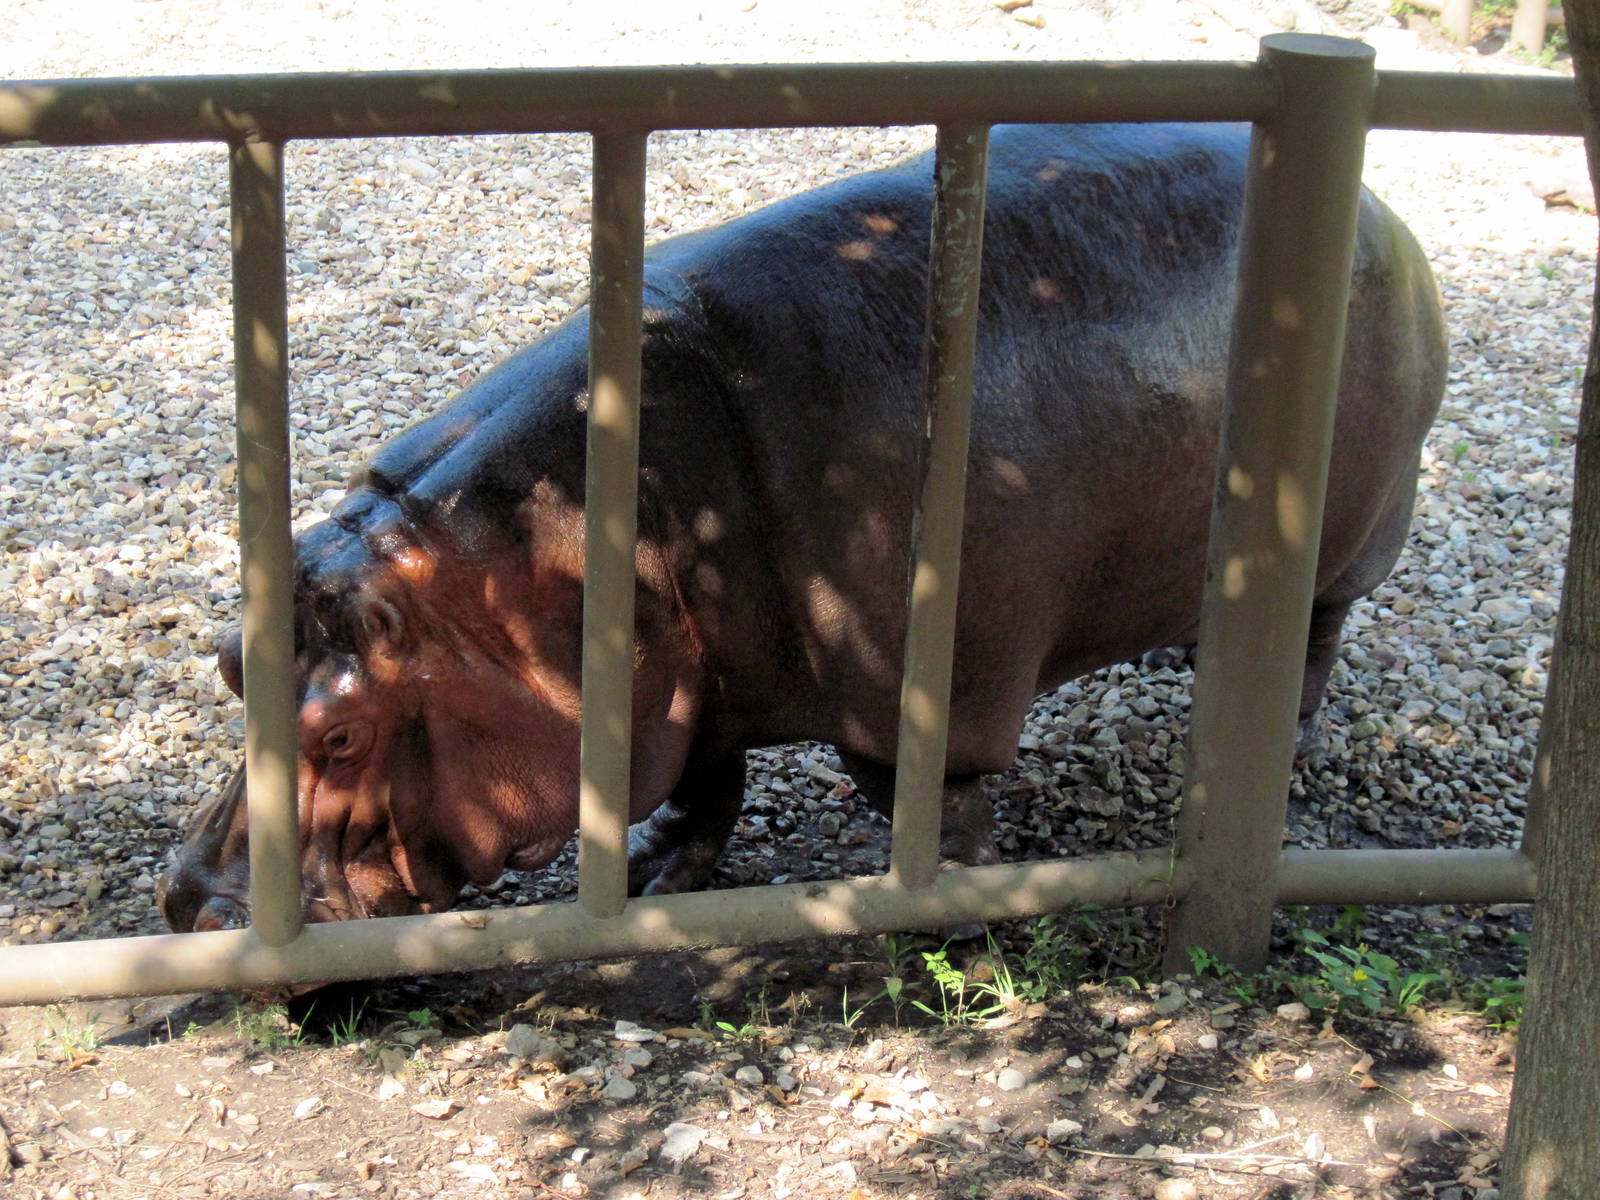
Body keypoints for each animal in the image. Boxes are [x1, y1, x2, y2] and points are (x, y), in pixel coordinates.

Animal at [159, 122, 1445, 933]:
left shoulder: (928, 688)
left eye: (337, 734)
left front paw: (949, 902)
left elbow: (922, 796)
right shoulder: (682, 684)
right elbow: (703, 781)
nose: (186, 904)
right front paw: (653, 874)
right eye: (230, 661)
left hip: (1356, 538)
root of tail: (1387, 214)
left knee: (1319, 633)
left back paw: (1284, 726)